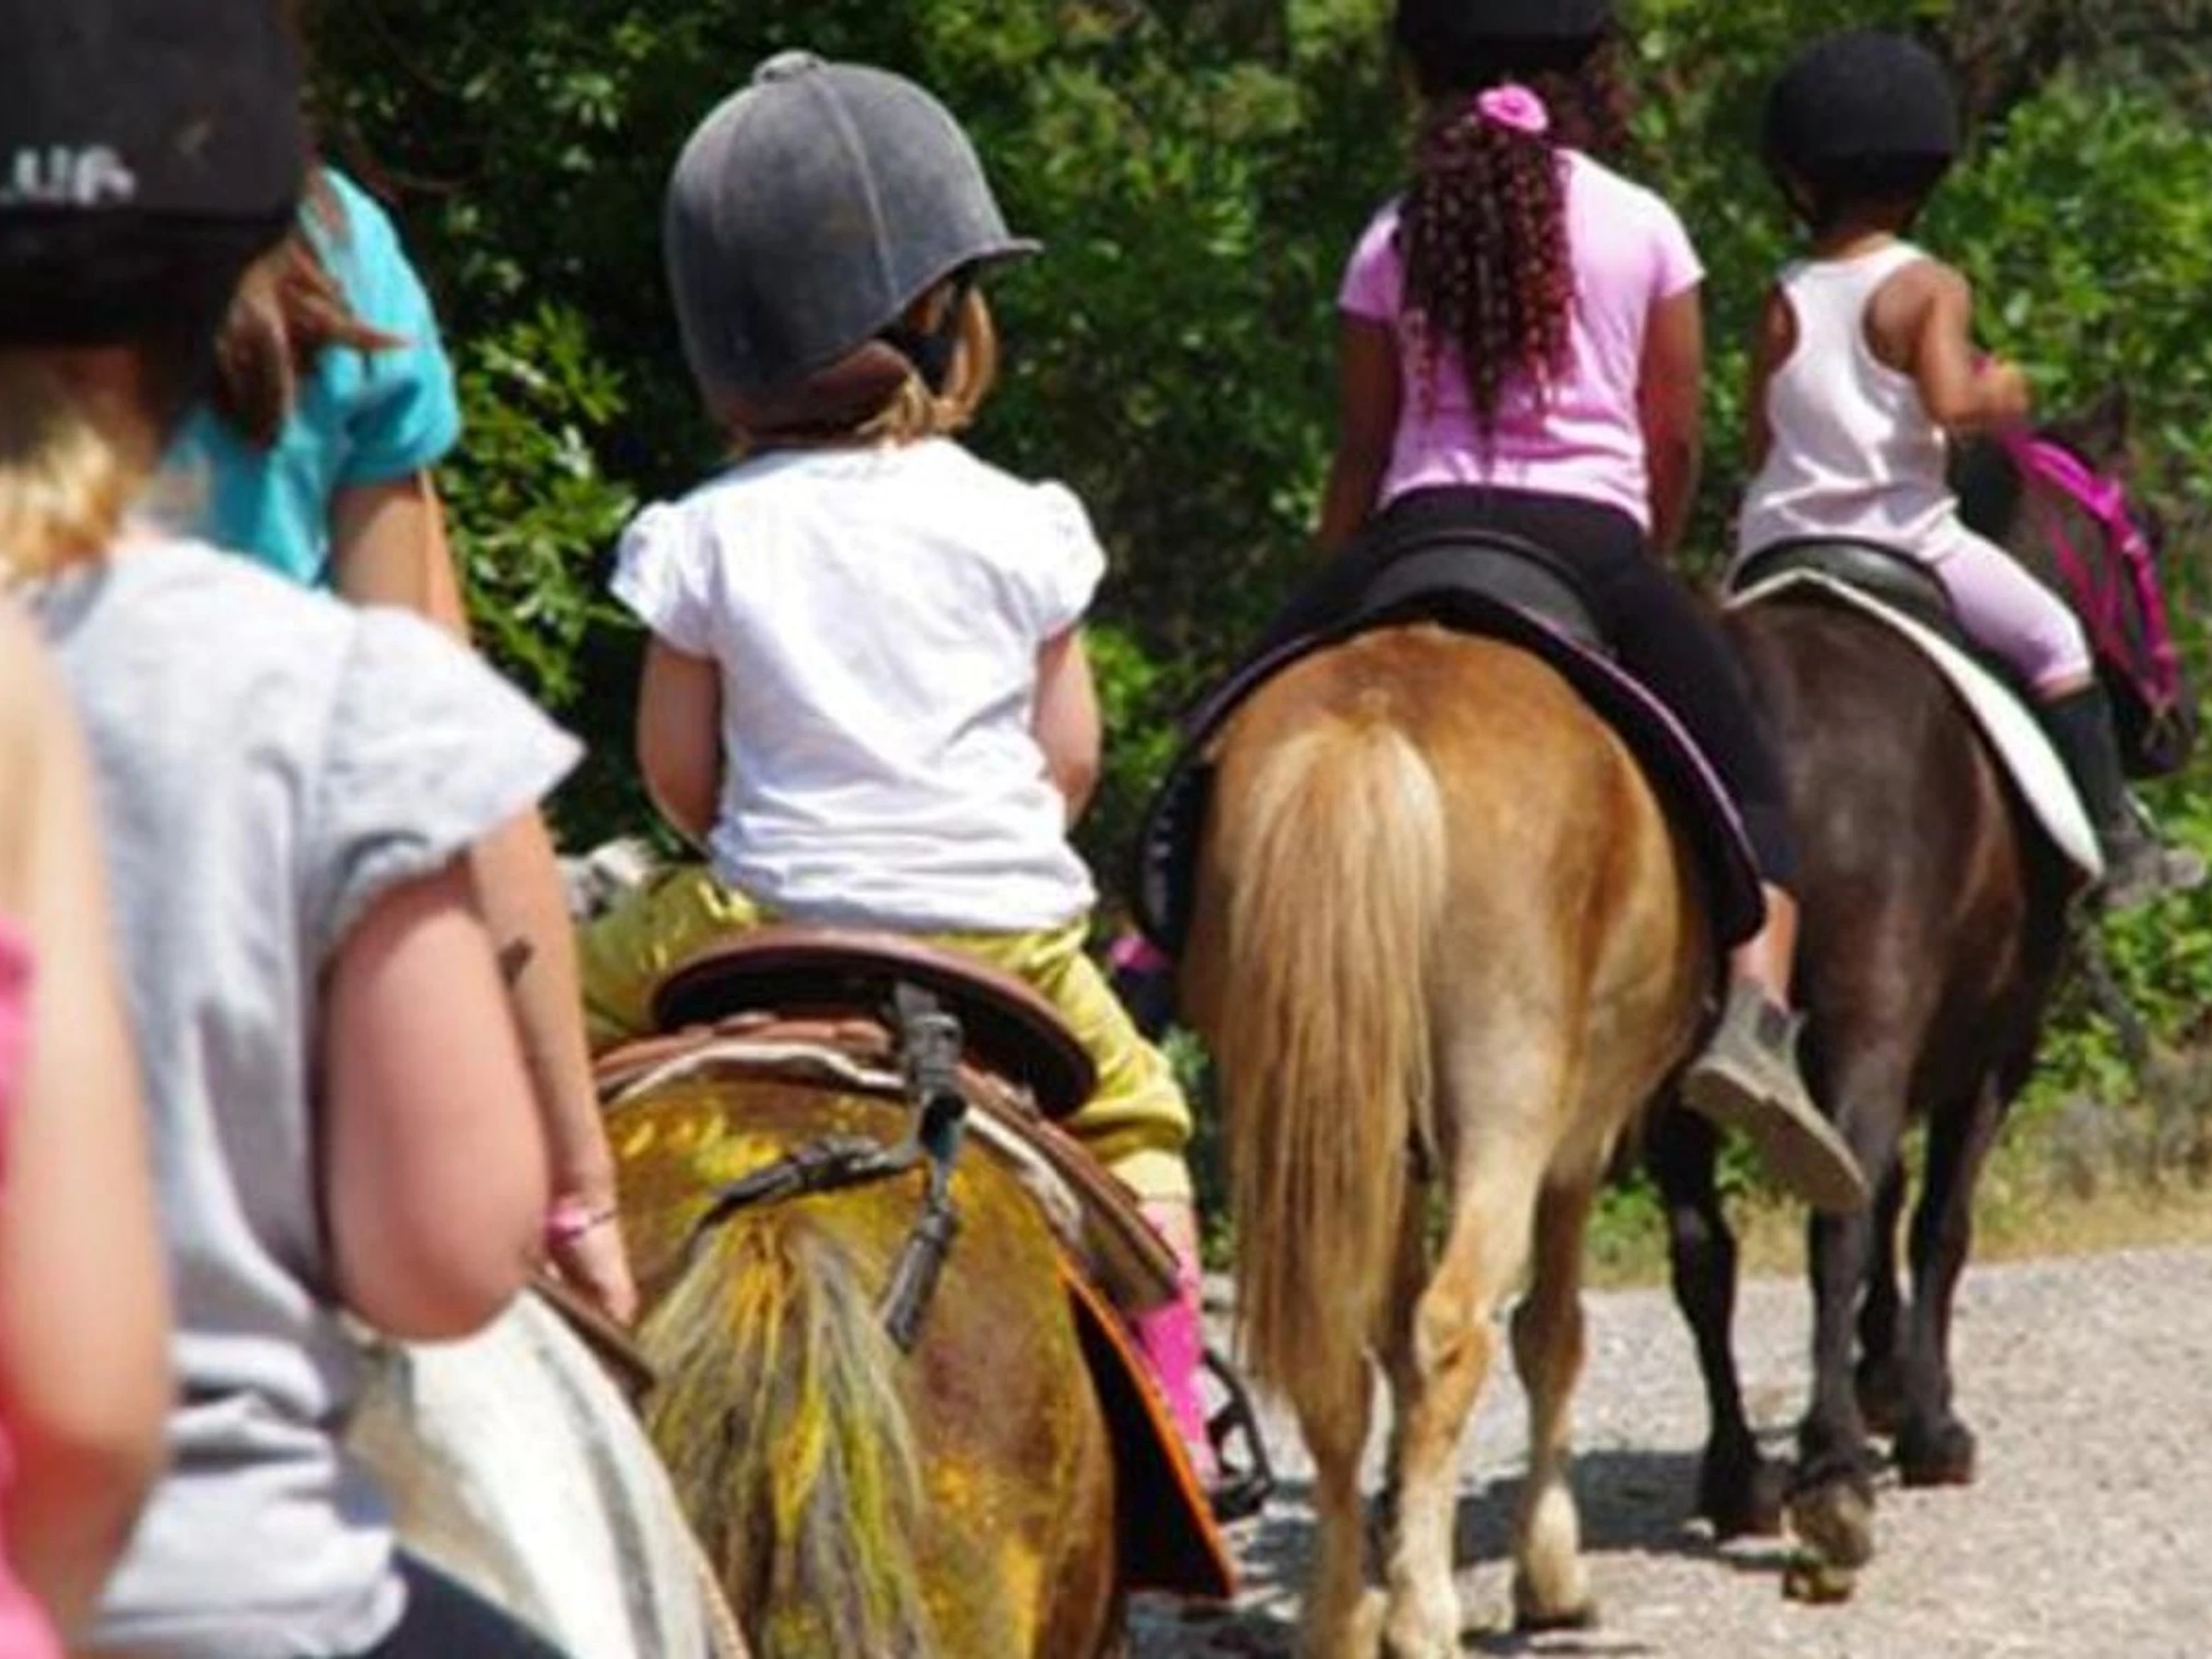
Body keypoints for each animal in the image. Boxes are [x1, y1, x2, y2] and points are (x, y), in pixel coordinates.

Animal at [1183, 623, 1713, 1655]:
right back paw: (1423, 1617)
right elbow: (1551, 1333)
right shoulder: (1575, 1148)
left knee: (1338, 1364)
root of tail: (1372, 722)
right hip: (1507, 1117)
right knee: (1454, 1329)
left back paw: (1342, 1616)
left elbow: (1388, 1337)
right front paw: (1549, 1575)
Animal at [1650, 390, 2173, 1566]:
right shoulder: (1988, 1048)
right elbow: (1937, 1220)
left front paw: (1882, 1374)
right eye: (2153, 535)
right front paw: (1925, 1418)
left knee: (1704, 1248)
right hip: (1875, 1026)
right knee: (1830, 1225)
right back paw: (1834, 1472)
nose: (2177, 729)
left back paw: (1740, 1474)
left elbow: (1886, 1194)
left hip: (1670, 1069)